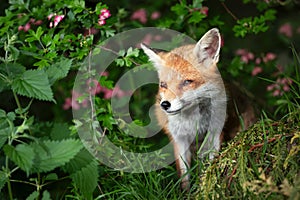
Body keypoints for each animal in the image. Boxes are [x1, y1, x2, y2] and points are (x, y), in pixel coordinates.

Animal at [142, 27, 256, 189]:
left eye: (187, 82)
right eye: (163, 85)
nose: (165, 105)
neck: (192, 121)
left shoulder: (215, 134)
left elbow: (209, 168)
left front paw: (205, 188)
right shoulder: (179, 139)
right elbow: (184, 176)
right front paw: (187, 193)